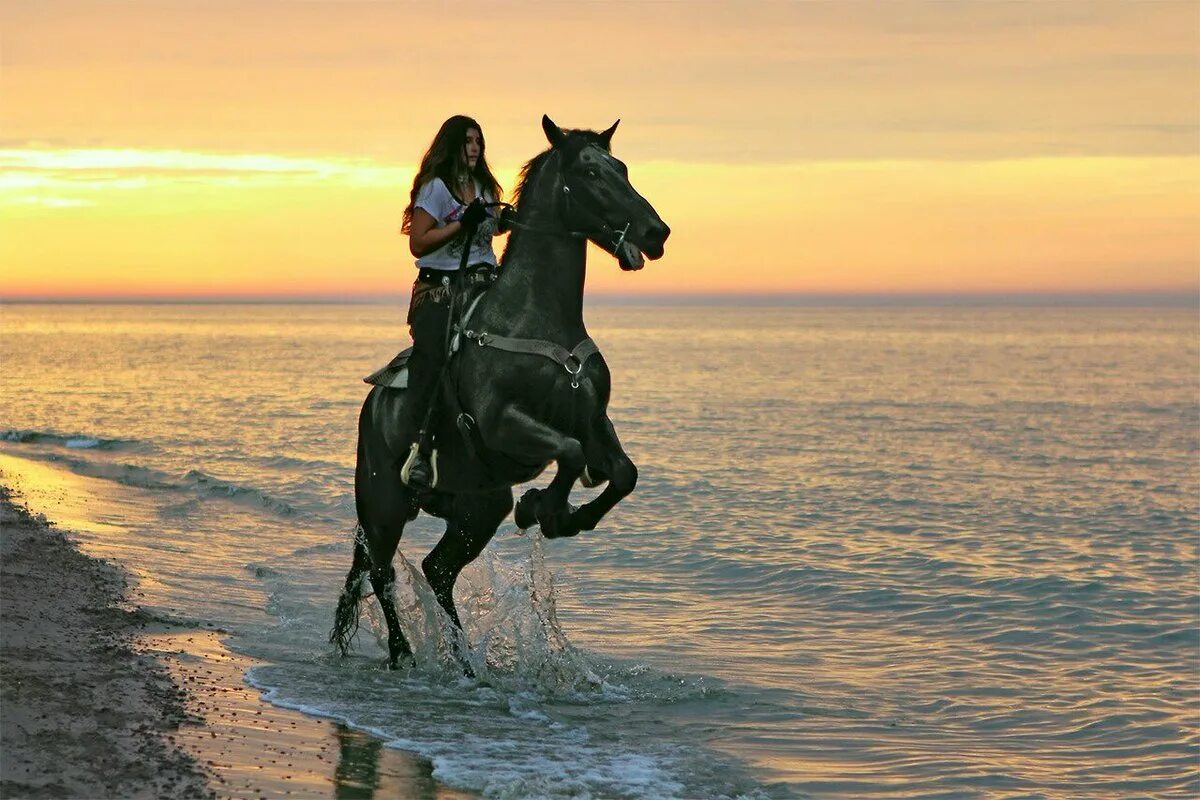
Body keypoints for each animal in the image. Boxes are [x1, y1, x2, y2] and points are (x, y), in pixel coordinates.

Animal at [333, 117, 672, 671]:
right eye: (590, 171)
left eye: (620, 166)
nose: (655, 232)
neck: (536, 317)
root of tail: (374, 406)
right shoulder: (502, 423)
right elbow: (570, 453)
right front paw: (545, 509)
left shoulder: (593, 420)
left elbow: (622, 472)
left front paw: (568, 514)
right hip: (382, 503)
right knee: (381, 573)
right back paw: (403, 653)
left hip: (478, 508)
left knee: (438, 569)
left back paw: (464, 661)